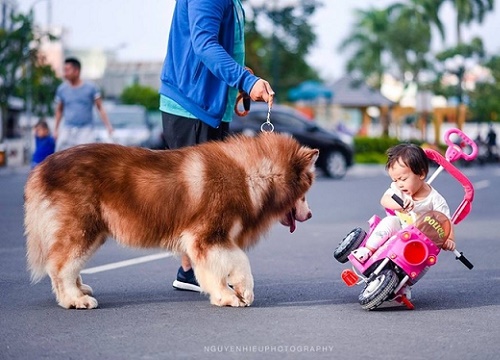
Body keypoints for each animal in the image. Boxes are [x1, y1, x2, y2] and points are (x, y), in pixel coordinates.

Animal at [24, 133, 316, 310]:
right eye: (306, 193)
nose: (311, 214)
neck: (251, 175)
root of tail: (41, 167)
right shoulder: (206, 236)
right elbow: (237, 262)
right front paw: (236, 293)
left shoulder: (212, 239)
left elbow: (222, 268)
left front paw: (228, 293)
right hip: (83, 228)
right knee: (60, 265)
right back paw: (74, 299)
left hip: (93, 231)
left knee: (68, 264)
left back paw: (79, 289)